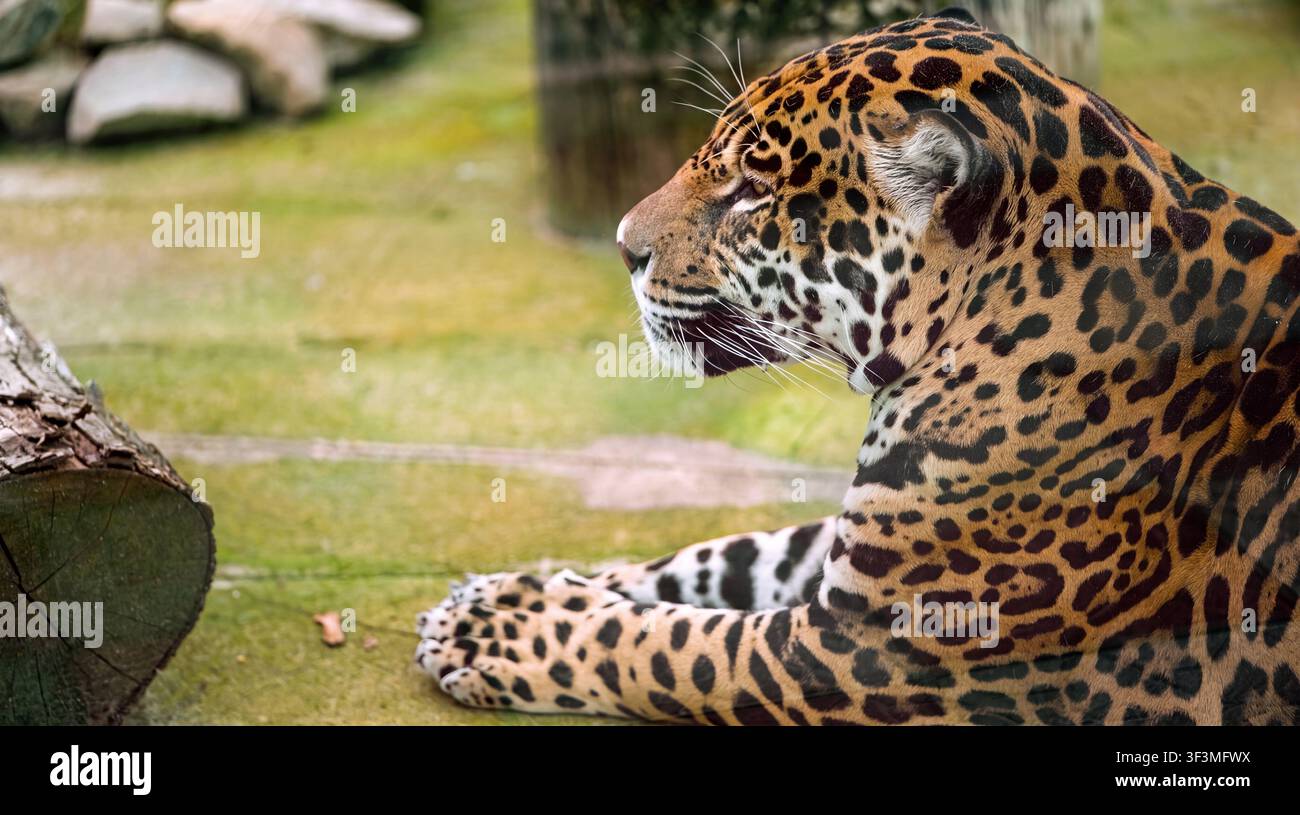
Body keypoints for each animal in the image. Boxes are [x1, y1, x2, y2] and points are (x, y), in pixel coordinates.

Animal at [415, 7, 1300, 725]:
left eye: (752, 191)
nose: (623, 245)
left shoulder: (861, 651)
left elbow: (663, 644)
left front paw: (507, 628)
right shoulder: (863, 550)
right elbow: (730, 553)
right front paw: (520, 583)